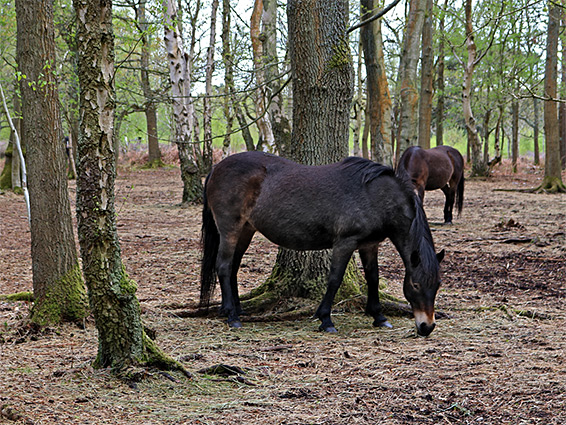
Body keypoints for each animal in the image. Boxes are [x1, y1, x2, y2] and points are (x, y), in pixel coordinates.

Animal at [202, 151, 446, 336]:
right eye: (416, 285)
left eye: (437, 285)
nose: (427, 327)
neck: (375, 195)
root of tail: (216, 168)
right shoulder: (345, 243)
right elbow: (335, 279)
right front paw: (325, 319)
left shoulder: (369, 245)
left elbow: (373, 278)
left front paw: (378, 315)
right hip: (230, 229)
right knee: (224, 266)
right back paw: (232, 315)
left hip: (246, 229)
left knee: (233, 267)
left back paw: (236, 309)